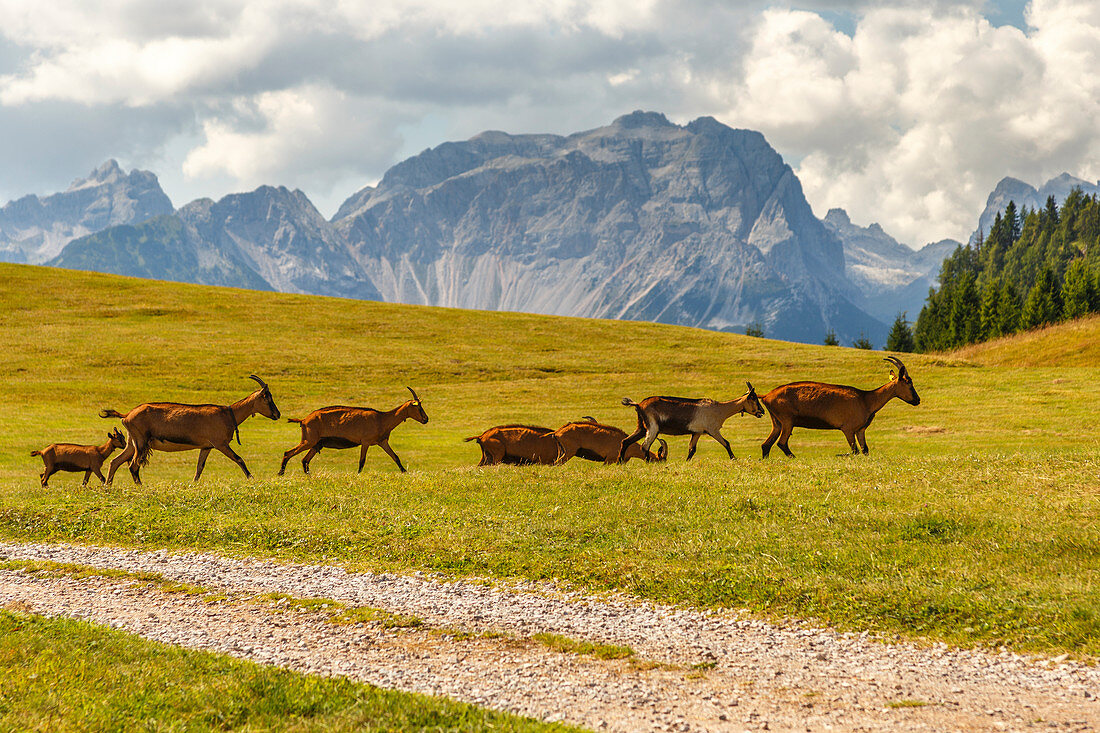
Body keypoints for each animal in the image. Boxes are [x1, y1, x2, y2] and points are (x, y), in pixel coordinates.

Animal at [102, 374, 281, 482]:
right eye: (267, 397)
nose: (277, 414)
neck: (228, 414)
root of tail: (127, 415)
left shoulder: (207, 446)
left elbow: (199, 468)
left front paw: (193, 484)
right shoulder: (220, 444)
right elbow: (239, 459)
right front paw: (252, 479)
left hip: (132, 442)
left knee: (115, 462)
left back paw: (107, 487)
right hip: (141, 441)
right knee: (133, 465)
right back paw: (140, 487)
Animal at [279, 385, 424, 477]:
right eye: (418, 408)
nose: (426, 419)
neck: (382, 419)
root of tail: (303, 420)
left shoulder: (382, 442)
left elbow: (395, 457)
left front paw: (405, 472)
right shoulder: (365, 442)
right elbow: (362, 461)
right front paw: (358, 474)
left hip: (316, 444)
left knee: (304, 460)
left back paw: (309, 475)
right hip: (308, 440)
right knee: (288, 453)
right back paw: (281, 473)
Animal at [620, 378, 765, 460]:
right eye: (754, 398)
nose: (762, 412)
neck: (720, 409)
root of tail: (639, 404)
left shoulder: (697, 432)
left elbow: (692, 449)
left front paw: (686, 462)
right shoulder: (712, 430)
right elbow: (726, 443)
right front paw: (734, 459)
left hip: (642, 427)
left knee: (626, 441)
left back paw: (620, 462)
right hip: (653, 427)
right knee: (645, 446)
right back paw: (648, 462)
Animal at [756, 354, 919, 457]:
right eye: (909, 383)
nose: (917, 400)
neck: (866, 400)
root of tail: (766, 396)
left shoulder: (860, 430)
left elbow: (865, 450)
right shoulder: (847, 429)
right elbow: (855, 451)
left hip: (777, 421)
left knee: (766, 445)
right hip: (787, 420)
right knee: (782, 443)